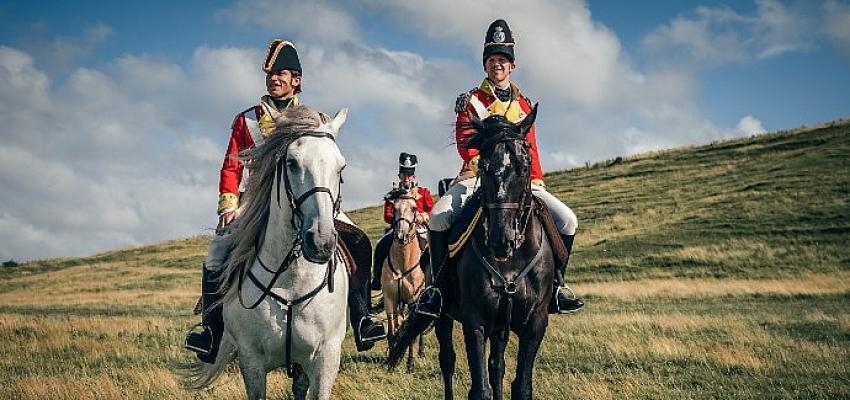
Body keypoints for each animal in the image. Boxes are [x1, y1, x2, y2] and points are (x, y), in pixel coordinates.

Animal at [177, 104, 350, 398]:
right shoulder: (252, 360)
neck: (292, 280)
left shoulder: (326, 359)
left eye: (341, 167)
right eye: (291, 163)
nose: (320, 242)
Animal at [388, 106, 552, 400]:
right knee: (448, 362)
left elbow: (520, 386)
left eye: (524, 167)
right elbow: (479, 388)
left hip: (500, 327)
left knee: (496, 366)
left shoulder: (535, 323)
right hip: (442, 313)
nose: (501, 240)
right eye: (484, 168)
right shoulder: (475, 321)